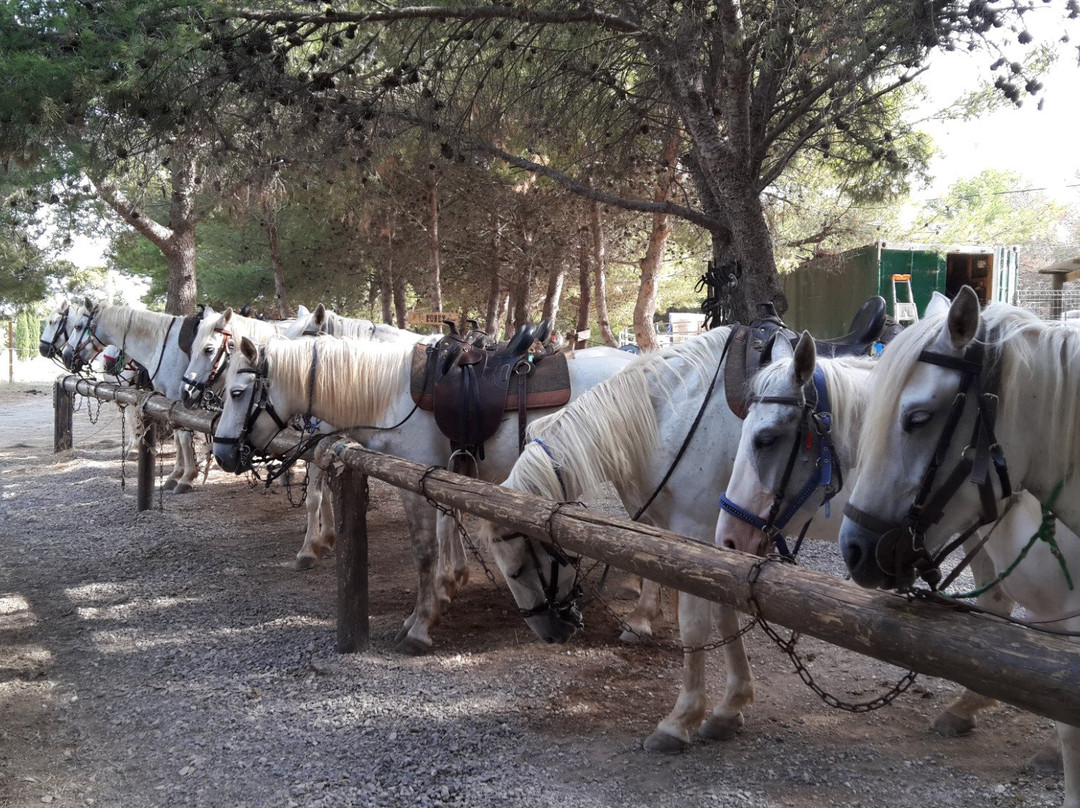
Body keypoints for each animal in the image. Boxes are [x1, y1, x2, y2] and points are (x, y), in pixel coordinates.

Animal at [64, 302, 211, 492]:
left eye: (78, 326)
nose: (67, 356)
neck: (164, 345)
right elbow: (178, 438)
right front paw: (177, 474)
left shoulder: (177, 400)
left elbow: (184, 438)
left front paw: (186, 477)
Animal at [212, 330, 630, 652]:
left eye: (237, 392)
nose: (222, 453)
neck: (389, 394)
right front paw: (434, 603)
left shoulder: (416, 484)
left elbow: (425, 552)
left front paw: (420, 626)